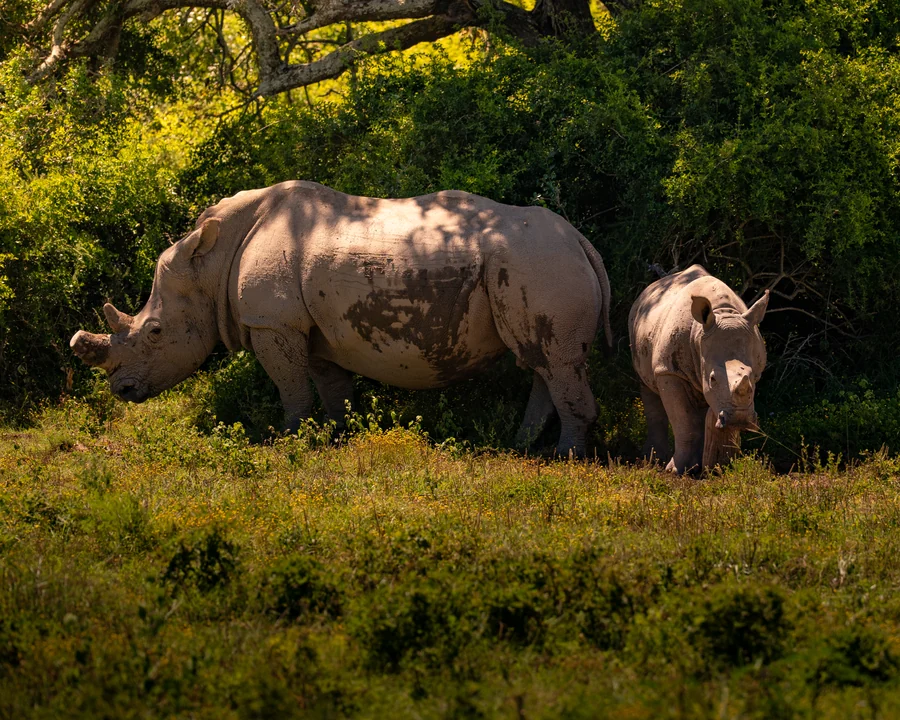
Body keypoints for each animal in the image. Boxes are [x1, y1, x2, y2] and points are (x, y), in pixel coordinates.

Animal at [70, 181, 612, 456]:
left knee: (556, 361)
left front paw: (289, 441)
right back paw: (522, 447)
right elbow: (331, 386)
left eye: (155, 332)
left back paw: (565, 459)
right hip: (538, 264)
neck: (210, 262)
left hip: (540, 264)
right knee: (543, 361)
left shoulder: (273, 322)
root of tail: (582, 244)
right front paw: (337, 437)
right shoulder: (308, 328)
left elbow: (290, 386)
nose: (121, 390)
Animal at [628, 265, 769, 473]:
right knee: (647, 388)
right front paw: (676, 471)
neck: (723, 312)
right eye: (712, 379)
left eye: (753, 377)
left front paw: (725, 467)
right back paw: (653, 460)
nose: (740, 419)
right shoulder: (669, 371)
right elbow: (684, 420)